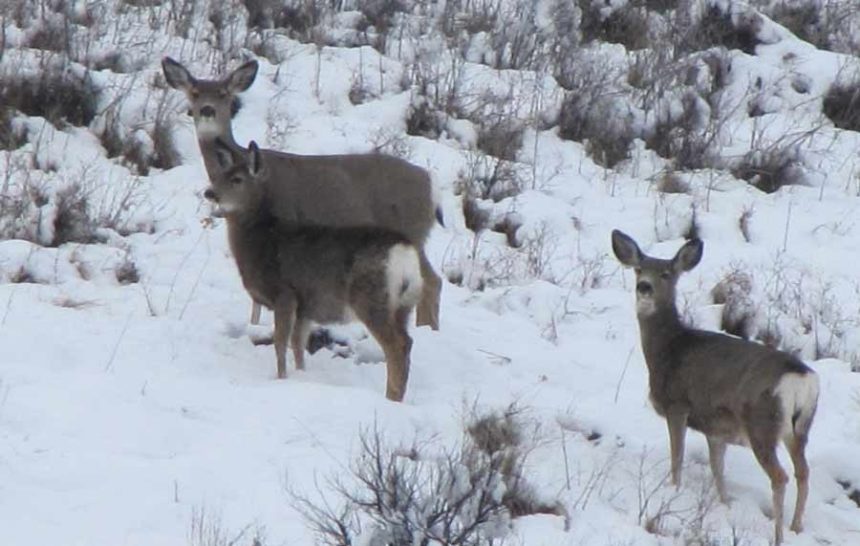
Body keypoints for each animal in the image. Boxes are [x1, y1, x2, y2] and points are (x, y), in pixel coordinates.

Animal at [161, 56, 443, 330]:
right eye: (195, 92)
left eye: (223, 93)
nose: (207, 110)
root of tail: (431, 185)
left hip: (412, 230)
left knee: (431, 281)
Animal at [204, 138, 422, 402]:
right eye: (218, 175)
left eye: (237, 179)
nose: (209, 192)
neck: (262, 241)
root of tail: (405, 252)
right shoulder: (305, 306)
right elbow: (298, 345)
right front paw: (301, 375)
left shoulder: (284, 293)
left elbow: (280, 343)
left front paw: (282, 379)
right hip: (405, 305)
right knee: (407, 343)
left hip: (372, 298)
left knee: (396, 346)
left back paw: (390, 398)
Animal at [611, 230, 819, 545]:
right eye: (638, 269)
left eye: (666, 273)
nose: (644, 287)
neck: (668, 349)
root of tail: (801, 377)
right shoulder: (716, 428)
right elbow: (717, 470)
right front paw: (725, 505)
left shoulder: (678, 405)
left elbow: (677, 456)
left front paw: (673, 489)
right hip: (799, 429)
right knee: (803, 473)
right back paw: (796, 527)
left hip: (762, 424)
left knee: (780, 477)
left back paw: (779, 536)